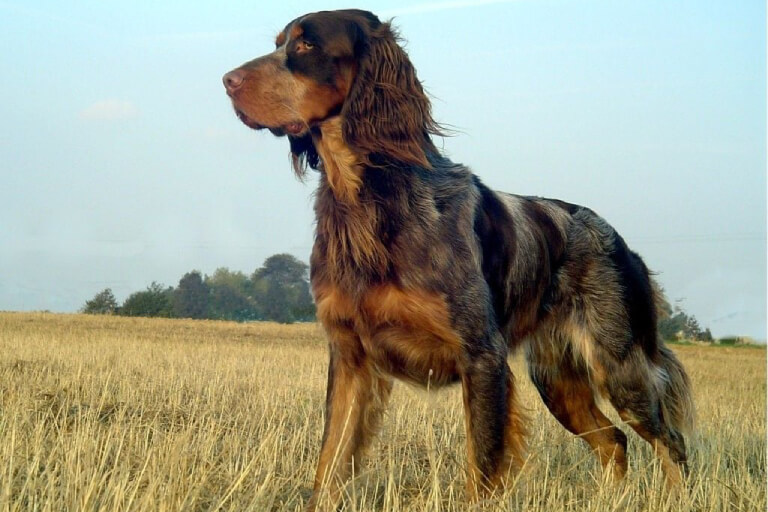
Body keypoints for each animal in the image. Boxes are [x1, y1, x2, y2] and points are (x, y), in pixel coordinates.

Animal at [224, 8, 696, 508]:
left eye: (307, 44)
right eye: (279, 42)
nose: (226, 81)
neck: (368, 198)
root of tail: (623, 244)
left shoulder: (482, 357)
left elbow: (482, 467)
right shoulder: (350, 357)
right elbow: (329, 464)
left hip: (619, 365)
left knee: (670, 443)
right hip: (557, 379)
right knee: (613, 441)